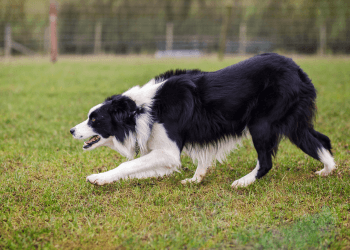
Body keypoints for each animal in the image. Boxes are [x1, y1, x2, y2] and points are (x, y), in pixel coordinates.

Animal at [69, 53, 334, 187]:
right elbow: (142, 169)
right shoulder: (165, 156)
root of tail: (297, 70)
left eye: (94, 119)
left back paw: (243, 182)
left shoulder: (168, 151)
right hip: (293, 123)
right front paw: (196, 178)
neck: (140, 110)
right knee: (322, 140)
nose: (71, 130)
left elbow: (128, 165)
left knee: (266, 161)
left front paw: (99, 178)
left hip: (262, 123)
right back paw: (327, 170)